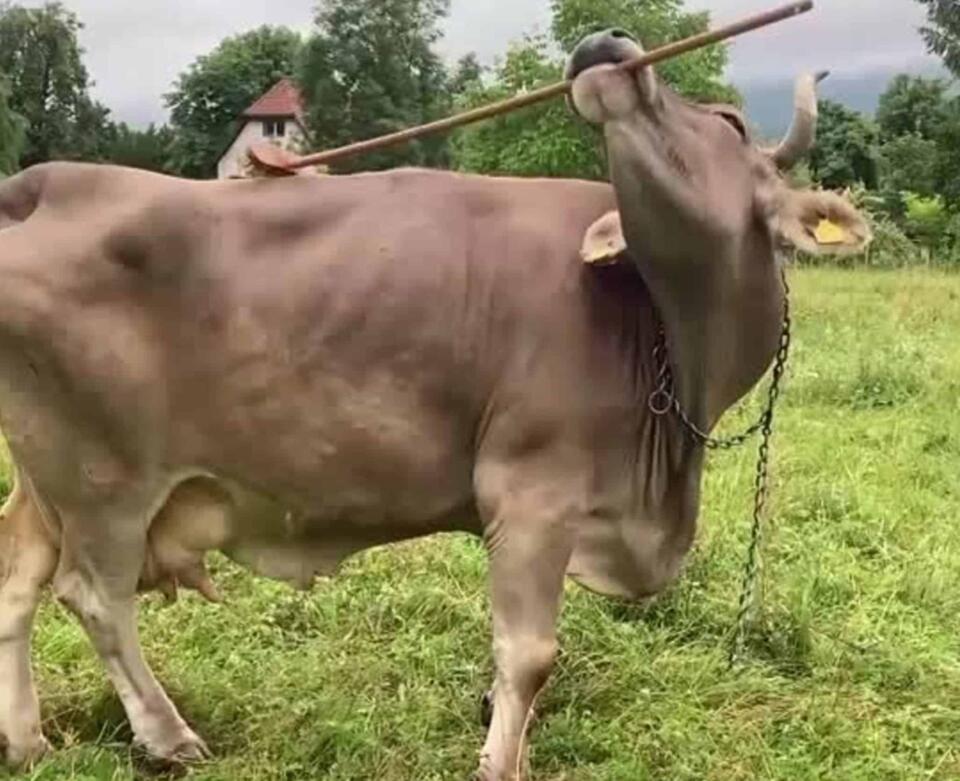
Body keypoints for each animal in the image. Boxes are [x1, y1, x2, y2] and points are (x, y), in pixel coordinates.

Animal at [0, 29, 869, 781]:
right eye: (729, 119)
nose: (606, 43)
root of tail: (48, 180)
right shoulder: (531, 491)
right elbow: (529, 653)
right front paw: (501, 763)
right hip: (103, 480)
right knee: (95, 597)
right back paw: (168, 734)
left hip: (44, 478)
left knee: (17, 578)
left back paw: (29, 739)